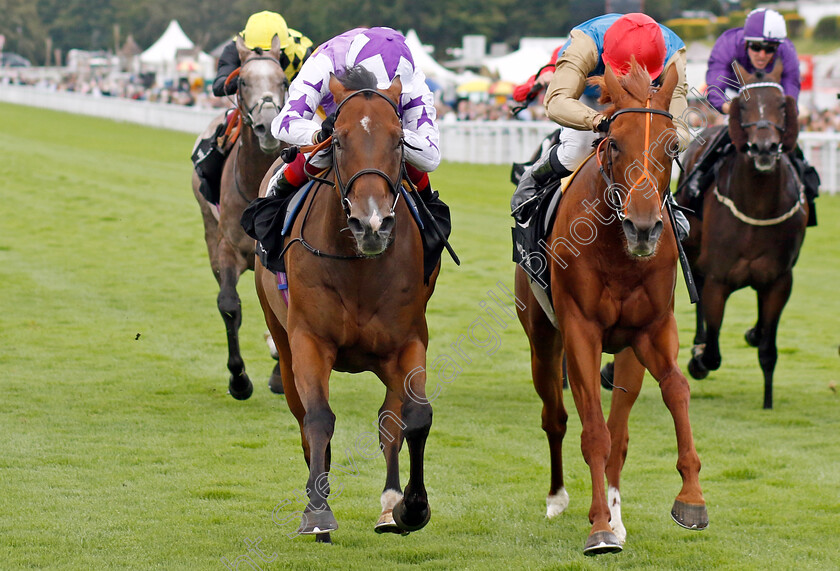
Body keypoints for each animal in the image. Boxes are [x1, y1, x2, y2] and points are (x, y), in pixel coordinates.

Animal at [191, 35, 288, 400]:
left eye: (284, 81)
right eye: (243, 81)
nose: (267, 126)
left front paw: (278, 374)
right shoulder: (228, 248)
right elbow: (229, 304)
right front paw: (239, 379)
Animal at [253, 66, 440, 540]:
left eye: (400, 140)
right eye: (337, 139)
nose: (371, 223)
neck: (359, 267)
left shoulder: (407, 342)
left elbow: (414, 416)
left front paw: (411, 506)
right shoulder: (309, 340)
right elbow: (319, 417)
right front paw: (317, 512)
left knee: (390, 418)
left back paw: (389, 507)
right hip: (281, 338)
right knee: (303, 417)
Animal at [516, 60, 704, 556]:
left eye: (672, 145)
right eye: (614, 141)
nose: (643, 227)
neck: (619, 252)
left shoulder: (652, 329)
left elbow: (676, 390)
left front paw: (691, 499)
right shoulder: (581, 331)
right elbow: (593, 433)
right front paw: (599, 527)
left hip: (627, 355)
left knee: (620, 431)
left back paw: (618, 516)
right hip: (543, 339)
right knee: (556, 417)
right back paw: (559, 498)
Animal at [676, 61, 808, 412]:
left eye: (781, 106)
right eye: (745, 106)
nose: (764, 148)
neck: (757, 207)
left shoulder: (779, 281)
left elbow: (767, 345)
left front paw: (768, 401)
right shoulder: (718, 280)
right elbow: (713, 352)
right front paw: (698, 358)